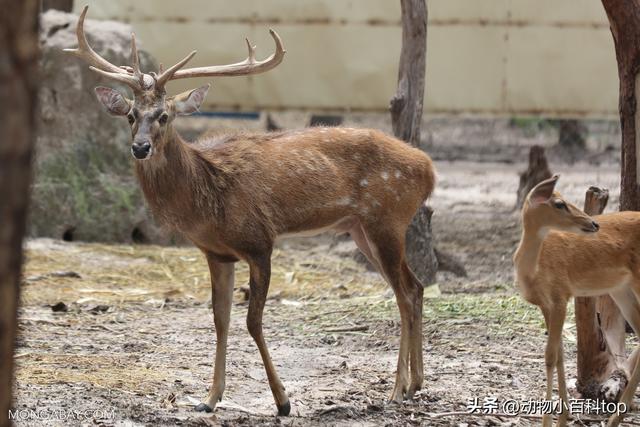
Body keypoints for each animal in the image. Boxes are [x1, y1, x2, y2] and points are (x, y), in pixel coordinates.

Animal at [65, 5, 436, 416]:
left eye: (164, 115)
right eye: (130, 115)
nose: (140, 147)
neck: (207, 200)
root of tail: (428, 169)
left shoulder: (260, 241)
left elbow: (252, 322)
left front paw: (283, 401)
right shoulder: (216, 253)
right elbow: (220, 320)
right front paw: (210, 398)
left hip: (386, 217)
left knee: (403, 293)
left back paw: (397, 389)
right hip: (361, 228)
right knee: (415, 287)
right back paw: (416, 383)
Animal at [512, 176, 640, 426]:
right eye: (559, 203)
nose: (594, 224)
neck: (532, 271)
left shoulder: (561, 295)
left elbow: (550, 356)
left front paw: (549, 421)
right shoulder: (546, 304)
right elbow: (559, 354)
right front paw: (563, 416)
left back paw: (617, 414)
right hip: (621, 289)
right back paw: (616, 415)